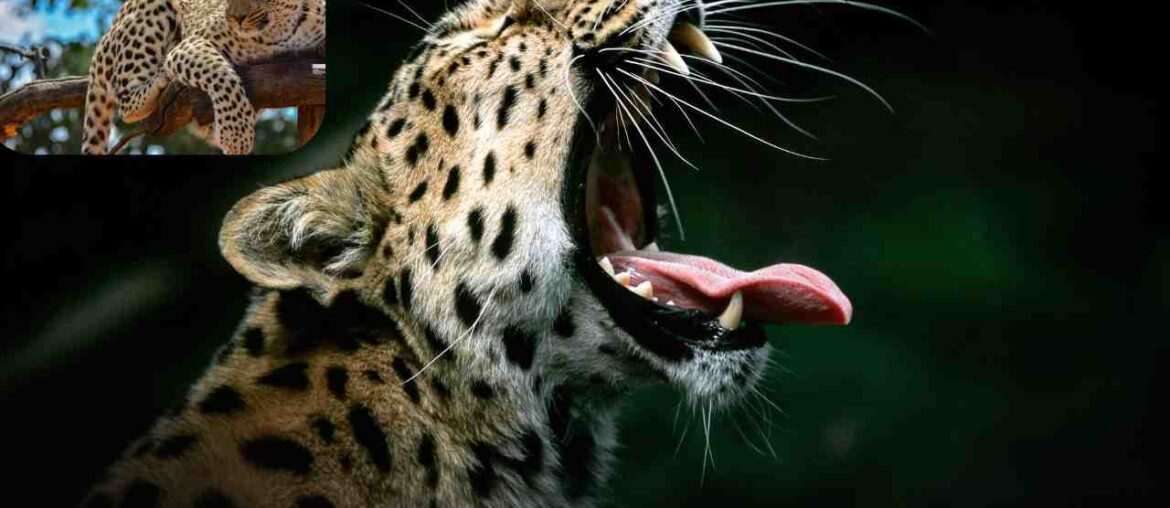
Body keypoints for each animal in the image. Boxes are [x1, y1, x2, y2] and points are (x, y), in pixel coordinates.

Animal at [80, 0, 326, 155]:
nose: (235, 18)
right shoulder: (189, 44)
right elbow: (221, 74)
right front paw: (236, 135)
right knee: (125, 102)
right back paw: (159, 81)